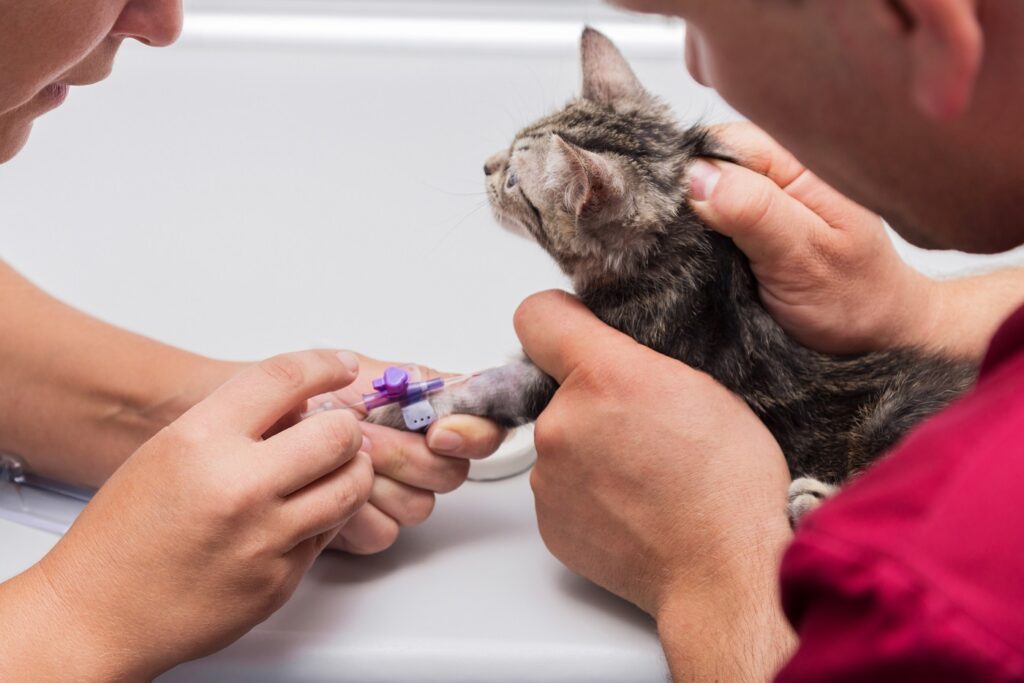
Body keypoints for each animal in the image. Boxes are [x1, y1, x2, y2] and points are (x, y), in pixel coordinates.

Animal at [370, 25, 974, 518]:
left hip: (889, 413)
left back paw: (814, 500)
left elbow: (497, 385)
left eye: (515, 180)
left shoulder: (581, 360)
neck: (686, 261)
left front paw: (397, 412)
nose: (487, 165)